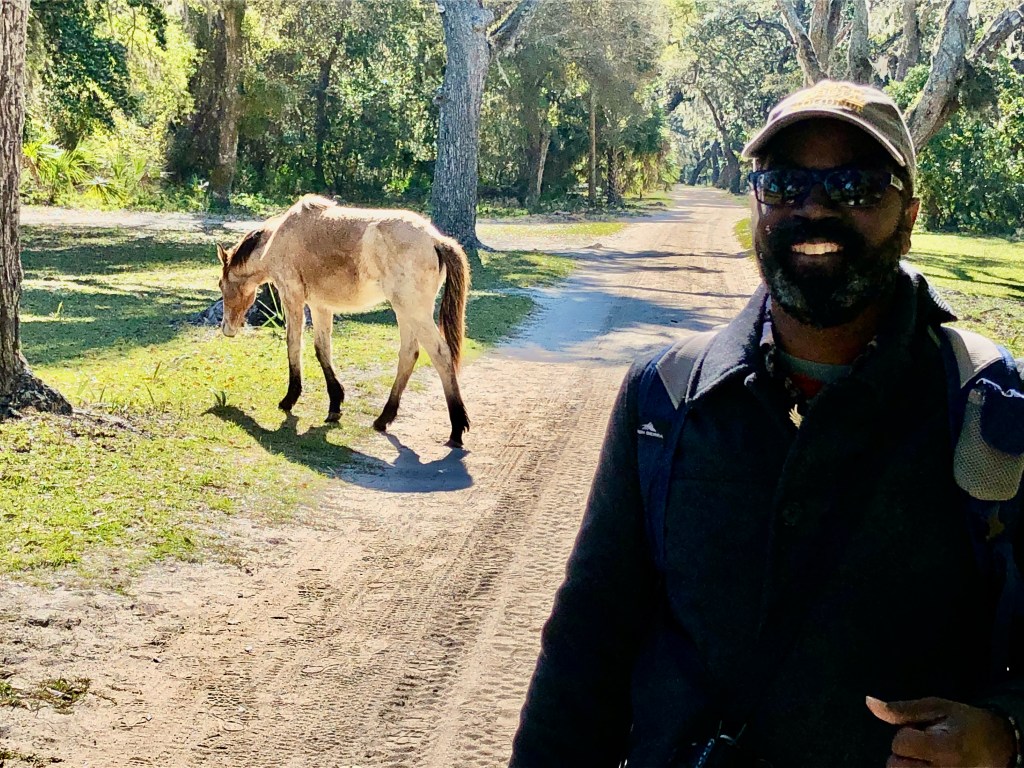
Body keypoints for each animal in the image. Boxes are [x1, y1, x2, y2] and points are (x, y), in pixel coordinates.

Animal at [216, 194, 471, 447]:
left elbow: (293, 345)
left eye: (220, 284)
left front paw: (289, 399)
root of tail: (436, 240)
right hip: (405, 313)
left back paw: (456, 429)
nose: (227, 329)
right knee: (409, 354)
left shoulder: (292, 299)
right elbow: (322, 349)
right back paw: (383, 419)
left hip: (413, 311)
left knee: (440, 354)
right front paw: (334, 405)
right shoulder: (320, 306)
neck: (276, 240)